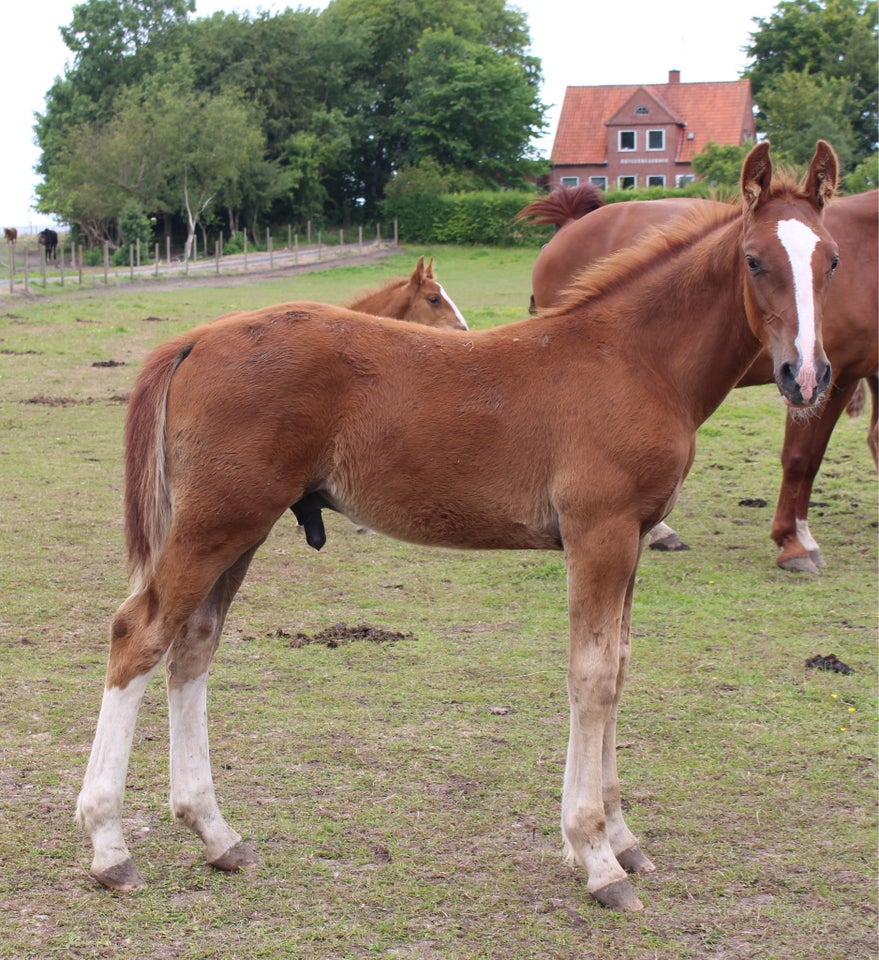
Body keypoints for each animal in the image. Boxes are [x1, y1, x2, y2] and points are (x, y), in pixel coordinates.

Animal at [77, 144, 840, 916]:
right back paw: (110, 845)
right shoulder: (599, 534)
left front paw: (622, 837)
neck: (633, 359)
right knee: (138, 635)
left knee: (193, 646)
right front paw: (595, 854)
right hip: (217, 523)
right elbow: (591, 678)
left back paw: (215, 832)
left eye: (832, 260)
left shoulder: (632, 541)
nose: (805, 377)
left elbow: (619, 669)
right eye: (753, 259)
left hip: (239, 529)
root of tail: (197, 337)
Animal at [520, 183, 876, 568]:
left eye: (835, 262)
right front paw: (795, 542)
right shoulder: (829, 379)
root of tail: (570, 226)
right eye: (753, 262)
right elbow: (801, 458)